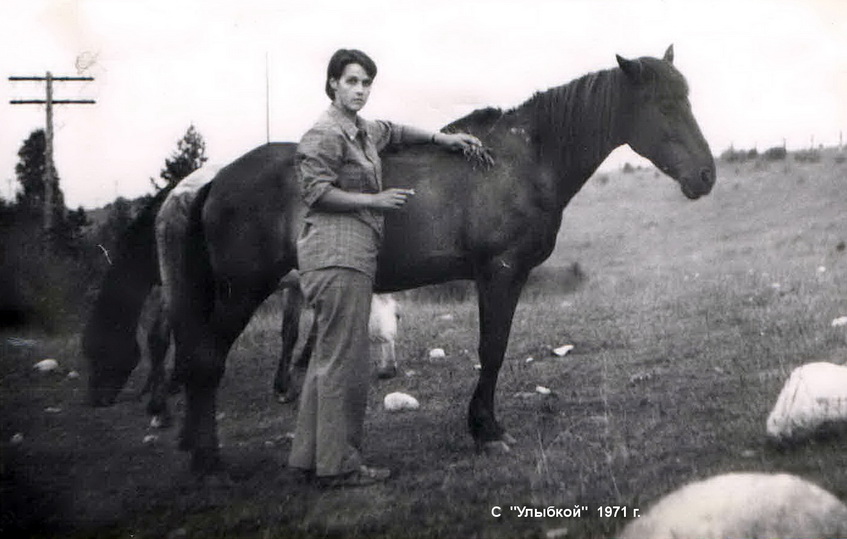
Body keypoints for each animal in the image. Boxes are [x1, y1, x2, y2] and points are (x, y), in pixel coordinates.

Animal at [88, 46, 716, 475]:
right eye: (663, 104)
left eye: (687, 98)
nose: (706, 176)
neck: (522, 160)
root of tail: (214, 180)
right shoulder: (499, 274)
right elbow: (492, 349)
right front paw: (486, 430)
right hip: (242, 291)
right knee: (203, 360)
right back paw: (207, 457)